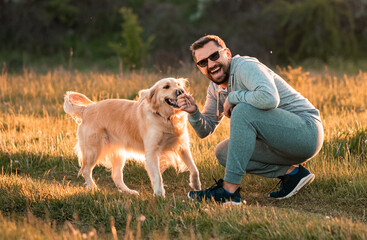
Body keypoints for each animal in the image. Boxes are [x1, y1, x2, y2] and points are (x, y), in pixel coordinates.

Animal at [63, 78, 201, 196]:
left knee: (116, 176)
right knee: (86, 170)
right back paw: (94, 188)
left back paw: (129, 191)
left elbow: (194, 168)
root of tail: (86, 109)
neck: (166, 117)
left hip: (118, 153)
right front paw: (159, 194)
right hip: (93, 150)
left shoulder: (182, 146)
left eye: (178, 84)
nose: (181, 91)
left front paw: (196, 184)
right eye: (166, 87)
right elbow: (157, 176)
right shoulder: (152, 152)